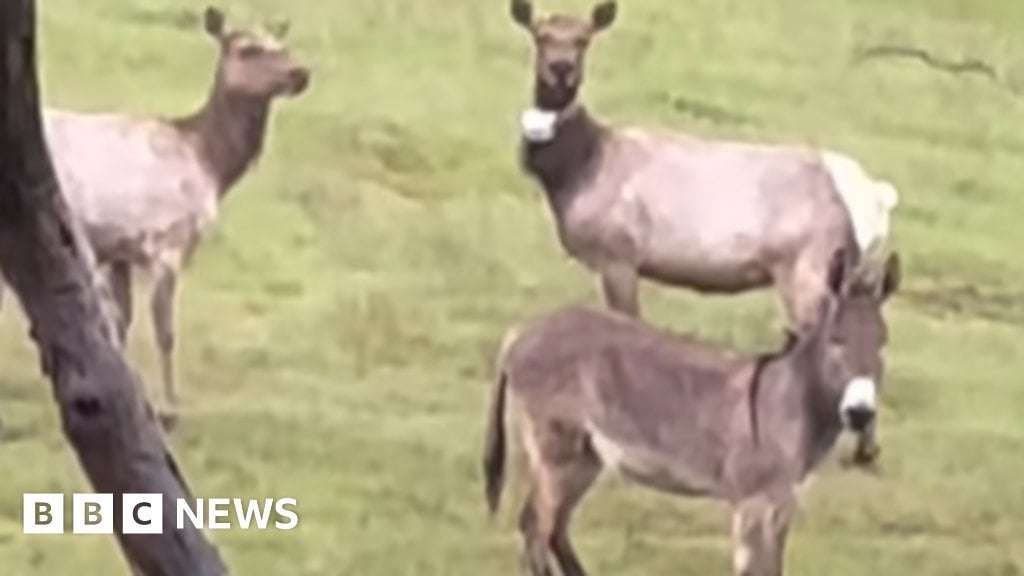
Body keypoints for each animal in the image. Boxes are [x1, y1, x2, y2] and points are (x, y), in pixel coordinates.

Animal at [2, 7, 311, 420]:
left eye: (283, 44)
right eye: (248, 49)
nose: (301, 73)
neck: (208, 164)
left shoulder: (122, 247)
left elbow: (123, 322)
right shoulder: (167, 239)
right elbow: (164, 330)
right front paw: (169, 407)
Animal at [483, 250, 900, 576]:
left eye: (882, 344)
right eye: (836, 341)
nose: (860, 413)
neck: (789, 403)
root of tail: (519, 334)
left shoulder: (783, 504)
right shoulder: (753, 505)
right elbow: (755, 570)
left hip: (585, 456)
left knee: (553, 529)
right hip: (556, 452)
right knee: (536, 529)